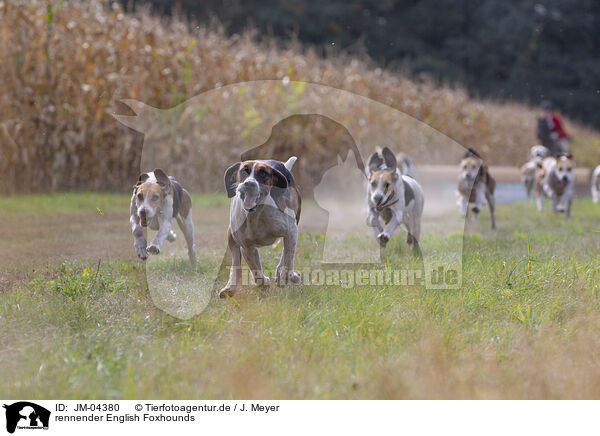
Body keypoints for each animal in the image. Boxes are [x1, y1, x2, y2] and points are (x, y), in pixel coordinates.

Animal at [219, 158, 300, 298]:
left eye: (263, 173)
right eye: (244, 171)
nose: (249, 184)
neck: (255, 214)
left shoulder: (291, 230)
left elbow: (289, 258)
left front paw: (286, 274)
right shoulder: (246, 247)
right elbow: (255, 269)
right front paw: (263, 283)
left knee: (286, 252)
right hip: (232, 236)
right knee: (237, 263)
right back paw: (231, 287)